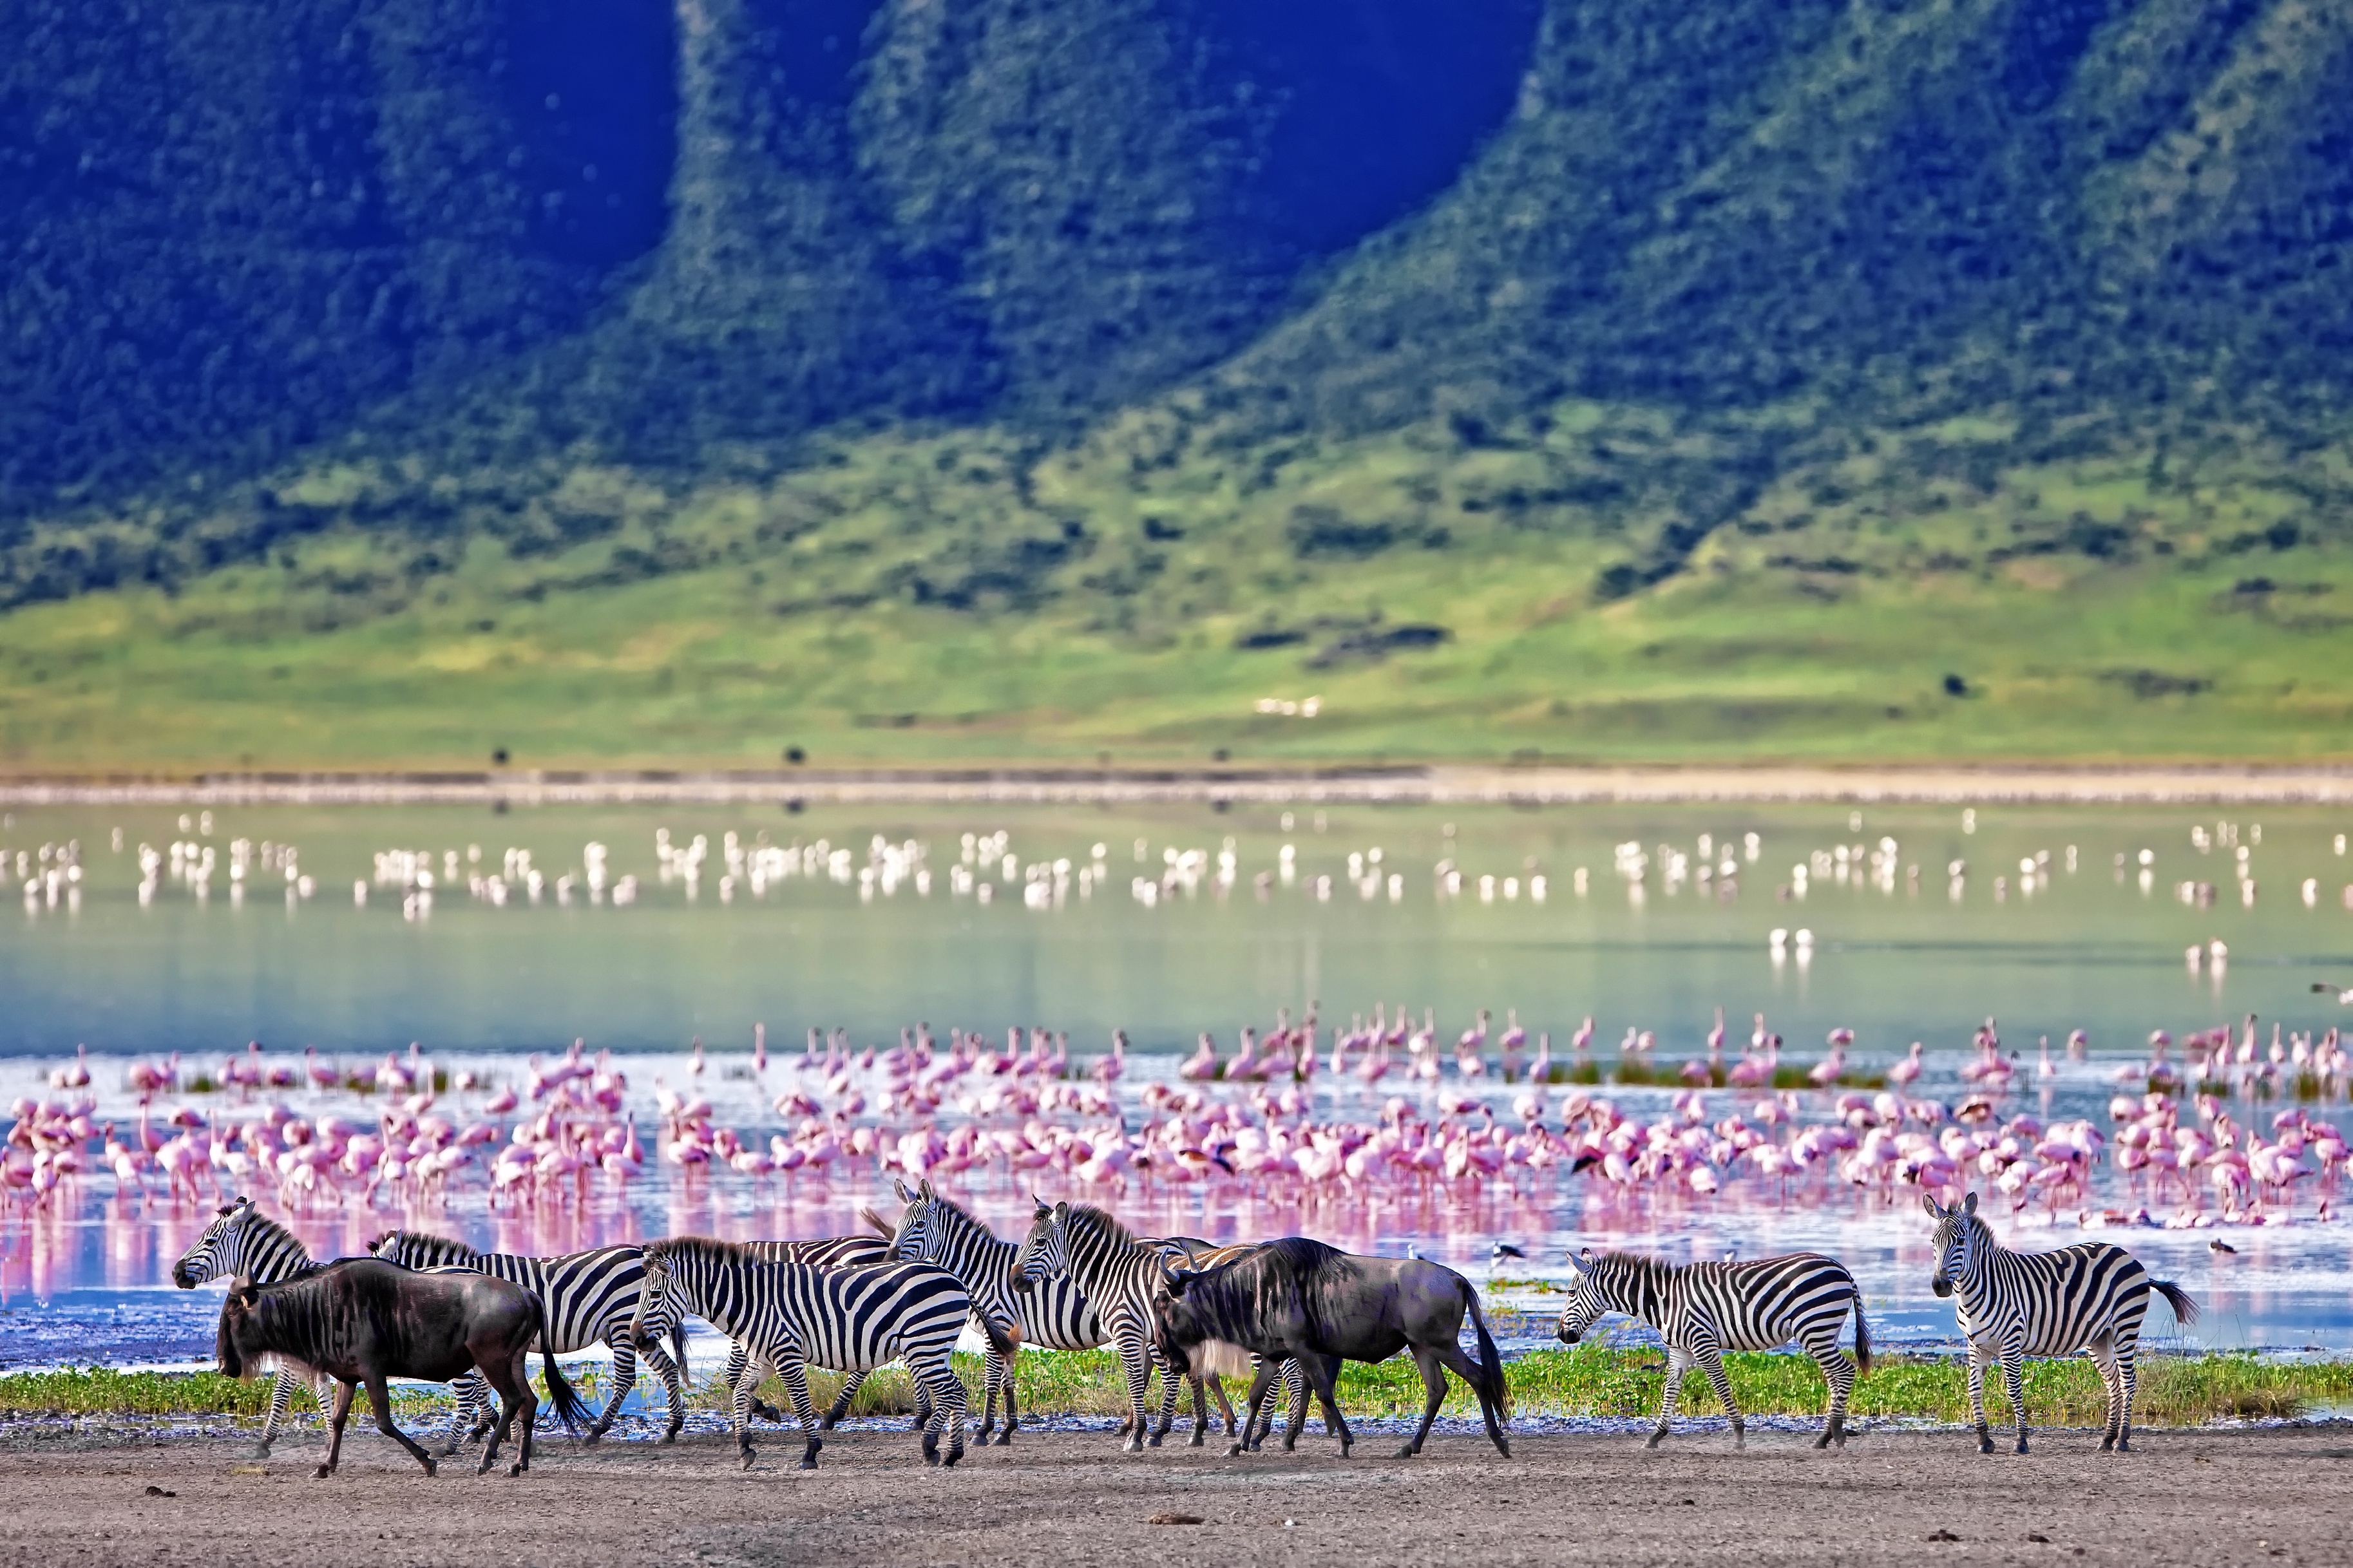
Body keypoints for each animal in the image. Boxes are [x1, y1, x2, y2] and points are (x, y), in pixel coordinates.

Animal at [367, 1230, 690, 1446]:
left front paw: (488, 1427)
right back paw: (673, 1427)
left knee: (625, 1378)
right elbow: (484, 1386)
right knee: (667, 1368)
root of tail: (642, 1254)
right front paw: (490, 1426)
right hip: (637, 1330)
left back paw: (596, 1431)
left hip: (623, 1325)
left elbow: (482, 1387)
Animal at [628, 1235, 1000, 1470]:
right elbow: (739, 1394)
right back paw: (941, 1450)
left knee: (954, 1392)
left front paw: (810, 1452)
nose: (635, 1338)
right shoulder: (763, 1359)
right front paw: (745, 1448)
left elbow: (801, 1403)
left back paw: (943, 1450)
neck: (752, 1300)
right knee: (953, 1392)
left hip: (925, 1345)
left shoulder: (786, 1353)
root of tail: (952, 1276)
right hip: (933, 1347)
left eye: (655, 1295)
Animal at [1009, 1197, 1301, 1453]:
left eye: (1040, 1242)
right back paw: (1276, 1435)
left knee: (1283, 1375)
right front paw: (1149, 1431)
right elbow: (1156, 1377)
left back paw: (1269, 1436)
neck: (1112, 1276)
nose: (1014, 1280)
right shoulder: (1147, 1336)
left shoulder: (1126, 1331)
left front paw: (1138, 1434)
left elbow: (1136, 1379)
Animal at [1555, 1246, 1870, 1450]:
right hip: (1823, 1331)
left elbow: (1720, 1387)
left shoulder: (1702, 1342)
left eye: (1570, 1293)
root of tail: (1841, 1269)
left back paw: (1833, 1434)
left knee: (1844, 1372)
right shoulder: (1679, 1349)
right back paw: (1826, 1437)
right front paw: (1656, 1436)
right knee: (1835, 1377)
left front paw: (1740, 1435)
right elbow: (1670, 1390)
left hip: (1814, 1327)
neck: (1664, 1300)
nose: (1561, 1335)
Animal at [1925, 1191, 2198, 1454]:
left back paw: (2122, 1440)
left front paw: (2021, 1441)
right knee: (2114, 1382)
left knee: (2128, 1381)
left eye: (1961, 1241)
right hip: (2100, 1335)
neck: (1977, 1290)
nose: (1940, 1286)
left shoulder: (2011, 1342)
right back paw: (2107, 1439)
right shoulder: (1977, 1345)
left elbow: (2014, 1390)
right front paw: (1984, 1441)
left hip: (2126, 1326)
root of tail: (2127, 1255)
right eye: (1933, 1242)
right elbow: (1974, 1390)